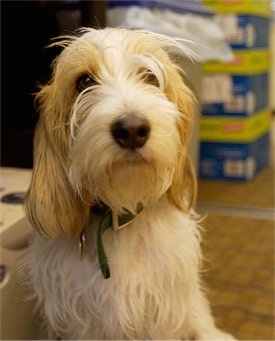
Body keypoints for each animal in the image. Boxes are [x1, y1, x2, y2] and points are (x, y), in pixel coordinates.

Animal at [23, 27, 236, 338]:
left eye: (150, 77)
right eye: (84, 81)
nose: (132, 129)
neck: (119, 217)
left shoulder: (163, 315)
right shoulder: (82, 324)